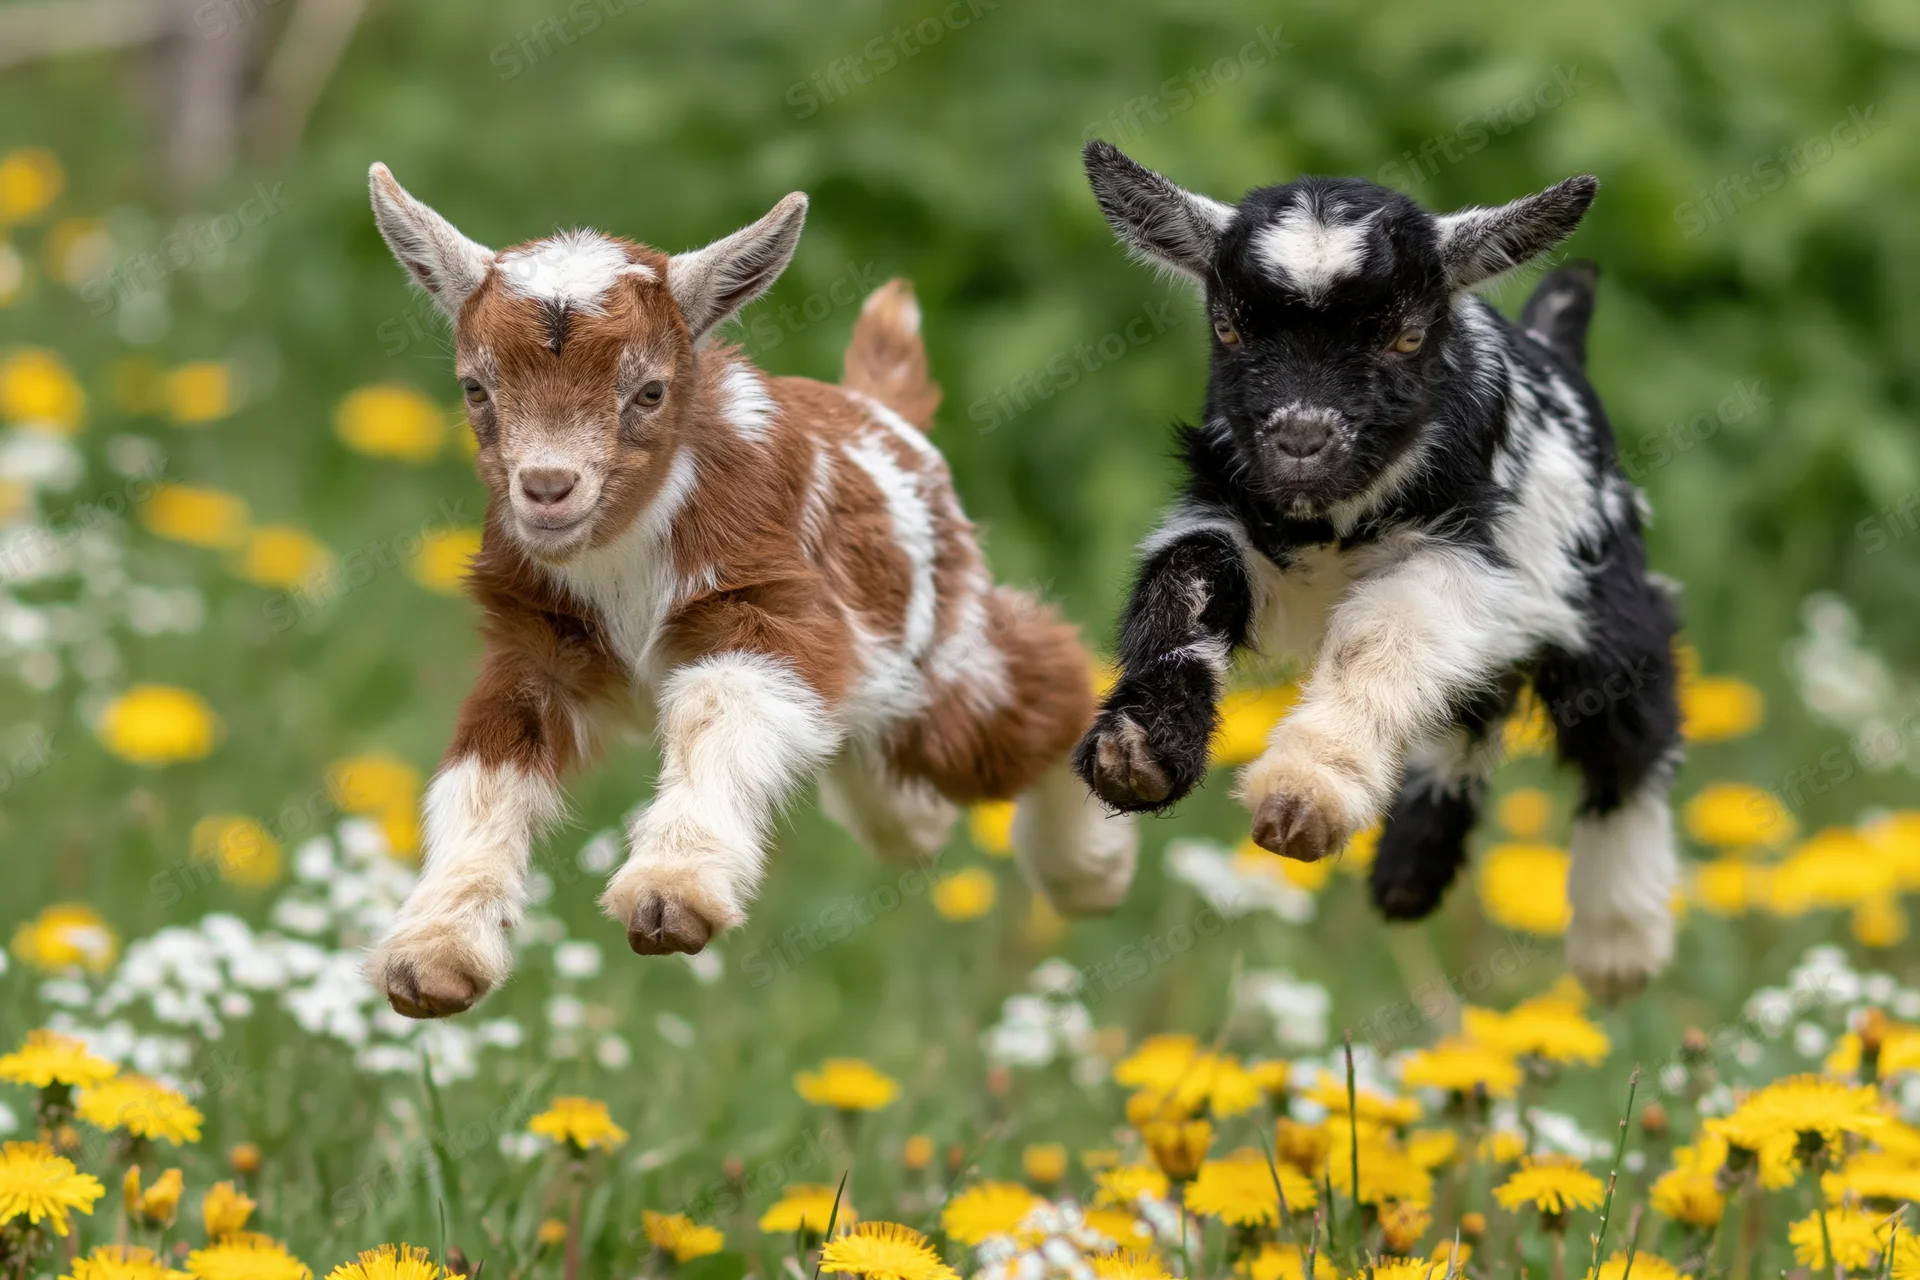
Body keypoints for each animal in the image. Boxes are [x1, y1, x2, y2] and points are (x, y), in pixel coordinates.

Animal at [363, 165, 1136, 1018]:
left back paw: (1091, 867)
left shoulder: (770, 601)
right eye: (475, 388)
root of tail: (886, 412)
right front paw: (432, 957)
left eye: (650, 392)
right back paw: (915, 820)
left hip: (944, 649)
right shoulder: (536, 640)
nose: (548, 489)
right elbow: (484, 772)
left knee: (1036, 689)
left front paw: (671, 894)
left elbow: (719, 707)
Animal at [1075, 142, 1681, 1001]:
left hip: (1599, 592)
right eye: (1227, 329)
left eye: (1405, 338)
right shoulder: (1239, 524)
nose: (1300, 442)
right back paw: (1409, 874)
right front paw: (1139, 753)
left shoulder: (1459, 562)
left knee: (1630, 730)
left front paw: (1305, 793)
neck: (1334, 523)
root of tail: (1558, 343)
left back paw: (1617, 942)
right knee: (1471, 713)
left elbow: (1381, 636)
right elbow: (1187, 581)